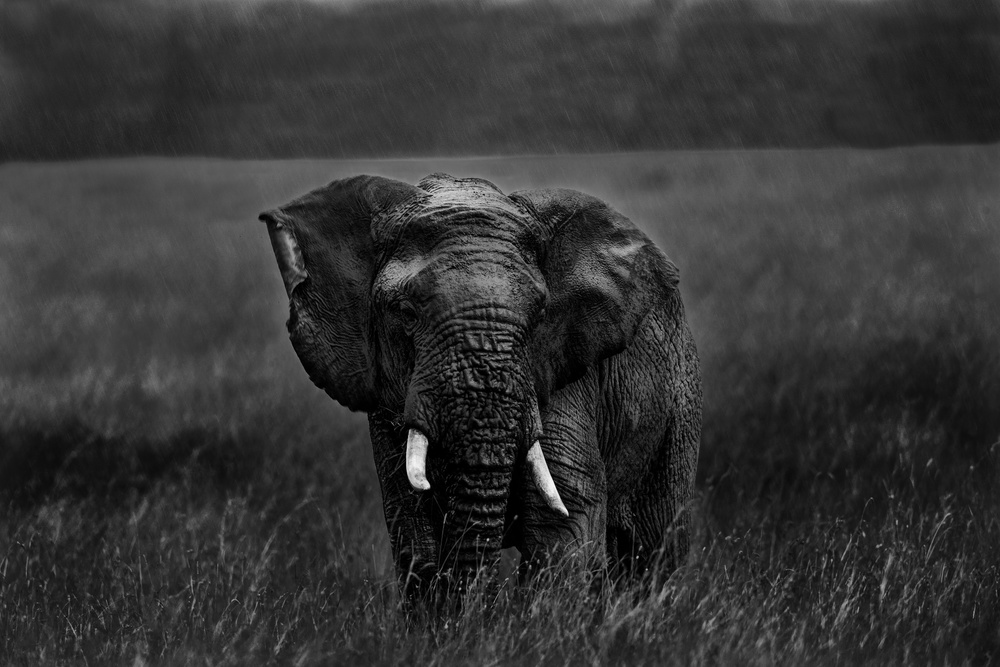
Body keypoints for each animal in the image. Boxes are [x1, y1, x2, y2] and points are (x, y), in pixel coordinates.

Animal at [260, 172, 704, 600]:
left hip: (680, 397)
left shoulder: (558, 375)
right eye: (405, 312)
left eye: (540, 316)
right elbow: (414, 533)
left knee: (655, 543)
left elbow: (562, 522)